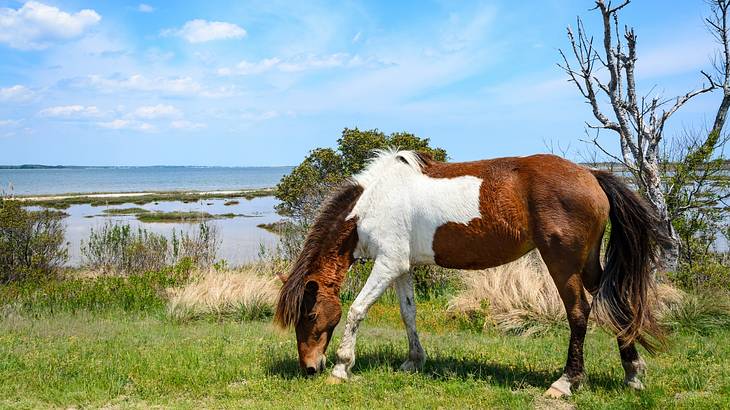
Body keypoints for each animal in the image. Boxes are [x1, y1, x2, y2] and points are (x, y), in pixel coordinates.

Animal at [272, 150, 664, 398]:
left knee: (579, 313)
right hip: (588, 262)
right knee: (616, 305)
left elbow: (356, 311)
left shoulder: (386, 264)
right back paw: (633, 373)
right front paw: (414, 361)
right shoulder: (401, 267)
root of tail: (591, 175)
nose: (309, 367)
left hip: (563, 263)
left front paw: (341, 368)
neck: (372, 203)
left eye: (308, 315)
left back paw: (566, 382)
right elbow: (408, 313)